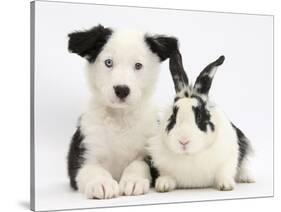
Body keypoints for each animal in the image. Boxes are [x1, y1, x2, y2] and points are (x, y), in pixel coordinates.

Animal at [66, 24, 177, 199]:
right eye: (108, 62)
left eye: (138, 65)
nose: (122, 90)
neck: (120, 118)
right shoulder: (82, 155)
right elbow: (92, 169)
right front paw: (101, 183)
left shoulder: (149, 149)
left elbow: (138, 164)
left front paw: (133, 180)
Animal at [149, 51, 254, 192]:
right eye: (173, 117)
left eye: (199, 117)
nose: (183, 141)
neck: (190, 155)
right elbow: (167, 176)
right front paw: (163, 185)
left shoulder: (228, 158)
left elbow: (224, 172)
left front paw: (226, 185)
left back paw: (247, 178)